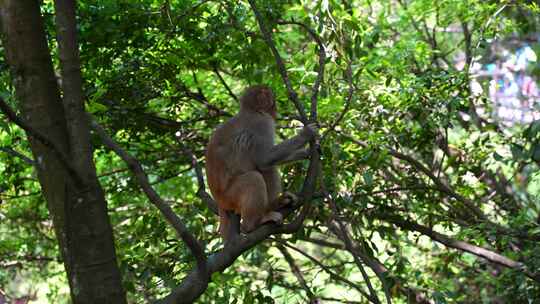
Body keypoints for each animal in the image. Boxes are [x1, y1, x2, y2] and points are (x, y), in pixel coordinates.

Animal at [206, 84, 316, 239]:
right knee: (255, 177)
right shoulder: (262, 123)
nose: (275, 106)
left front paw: (306, 152)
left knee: (267, 170)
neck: (251, 110)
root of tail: (219, 200)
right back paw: (253, 223)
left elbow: (265, 162)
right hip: (229, 196)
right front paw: (305, 134)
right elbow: (264, 159)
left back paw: (273, 205)